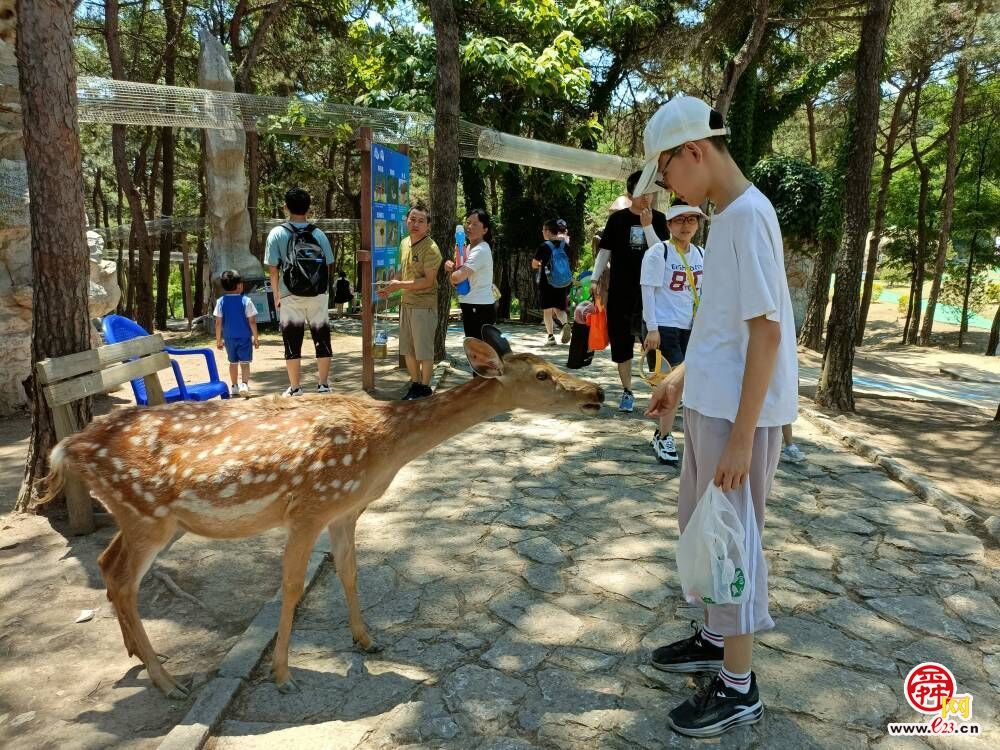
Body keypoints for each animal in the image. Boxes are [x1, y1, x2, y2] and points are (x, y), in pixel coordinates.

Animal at [43, 328, 600, 700]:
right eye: (543, 374)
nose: (594, 394)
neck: (384, 446)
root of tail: (69, 446)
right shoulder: (309, 507)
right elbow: (292, 587)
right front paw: (283, 674)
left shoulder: (345, 509)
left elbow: (350, 572)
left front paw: (367, 641)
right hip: (147, 514)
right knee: (121, 577)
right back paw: (168, 681)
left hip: (148, 519)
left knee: (107, 566)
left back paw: (140, 658)